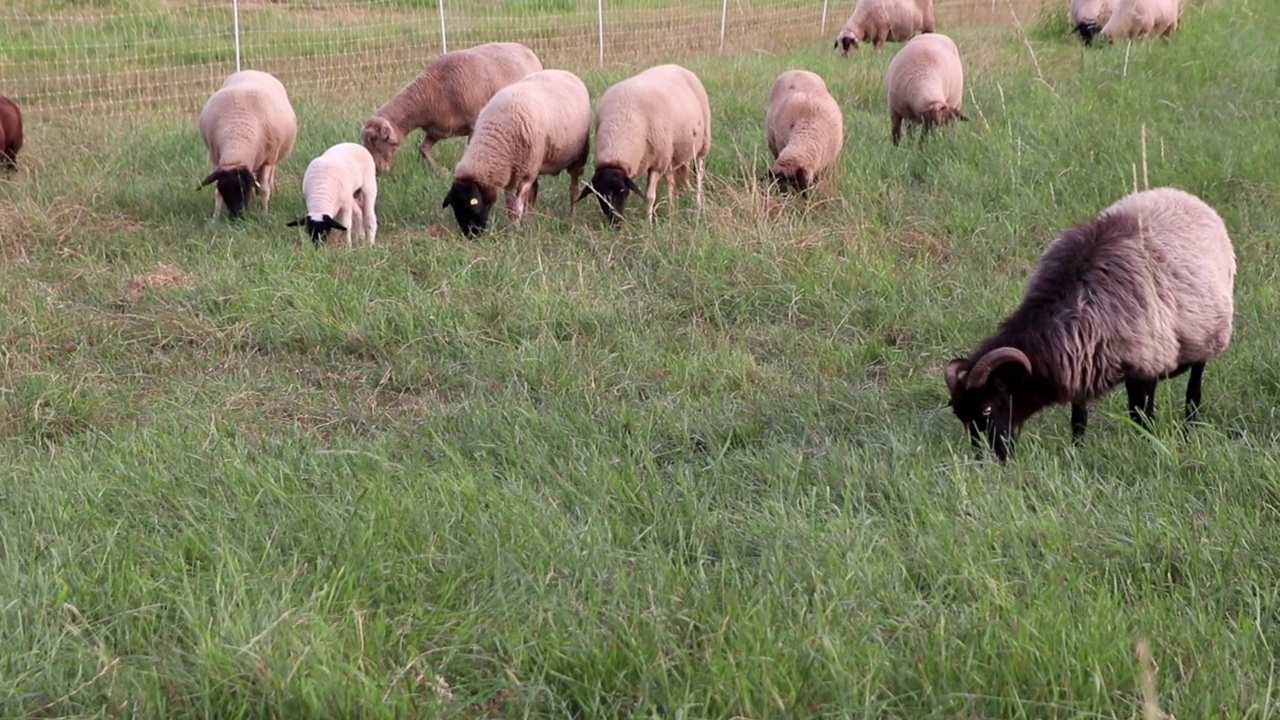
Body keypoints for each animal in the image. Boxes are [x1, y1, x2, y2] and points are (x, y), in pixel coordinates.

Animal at [197, 69, 296, 219]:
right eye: (224, 189)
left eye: (245, 189)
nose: (237, 216)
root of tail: (253, 71)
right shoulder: (216, 160)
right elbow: (216, 192)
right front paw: (215, 218)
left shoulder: (268, 161)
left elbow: (264, 189)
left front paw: (265, 215)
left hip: (274, 158)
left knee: (268, 179)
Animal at [360, 40, 540, 174]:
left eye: (374, 140)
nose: (377, 171)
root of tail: (527, 50)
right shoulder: (437, 130)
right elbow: (423, 150)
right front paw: (442, 172)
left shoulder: (474, 122)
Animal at [437, 67, 591, 237]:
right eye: (456, 210)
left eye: (471, 206)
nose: (471, 236)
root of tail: (562, 71)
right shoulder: (510, 174)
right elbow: (511, 205)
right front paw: (513, 226)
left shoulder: (526, 175)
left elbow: (517, 207)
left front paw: (515, 232)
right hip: (535, 164)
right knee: (534, 193)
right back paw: (530, 220)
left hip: (576, 158)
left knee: (574, 190)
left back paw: (571, 217)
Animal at [578, 65, 711, 226]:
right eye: (599, 195)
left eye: (622, 191)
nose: (615, 223)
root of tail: (677, 66)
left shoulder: (657, 163)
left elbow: (649, 197)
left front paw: (649, 224)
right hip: (675, 152)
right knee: (674, 179)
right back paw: (674, 207)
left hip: (702, 144)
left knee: (698, 173)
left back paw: (697, 205)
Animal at [947, 185, 1233, 458]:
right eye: (960, 414)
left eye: (987, 408)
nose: (990, 459)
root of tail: (1184, 195)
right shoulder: (1081, 361)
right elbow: (1079, 419)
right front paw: (1077, 452)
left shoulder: (1146, 364)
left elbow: (1143, 416)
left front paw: (1149, 448)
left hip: (1205, 338)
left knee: (1193, 392)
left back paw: (1189, 431)